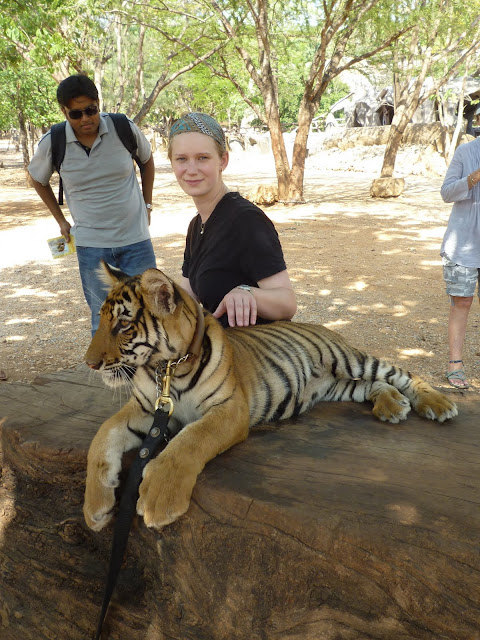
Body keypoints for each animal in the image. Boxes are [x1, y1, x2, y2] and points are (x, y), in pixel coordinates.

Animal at [82, 262, 458, 532]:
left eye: (123, 326)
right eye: (100, 319)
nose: (90, 363)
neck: (167, 368)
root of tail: (324, 326)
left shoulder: (229, 409)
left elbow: (189, 441)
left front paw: (158, 498)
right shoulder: (146, 409)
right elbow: (101, 438)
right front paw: (95, 508)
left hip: (350, 359)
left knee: (401, 374)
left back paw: (438, 404)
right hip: (338, 386)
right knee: (373, 386)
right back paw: (392, 405)